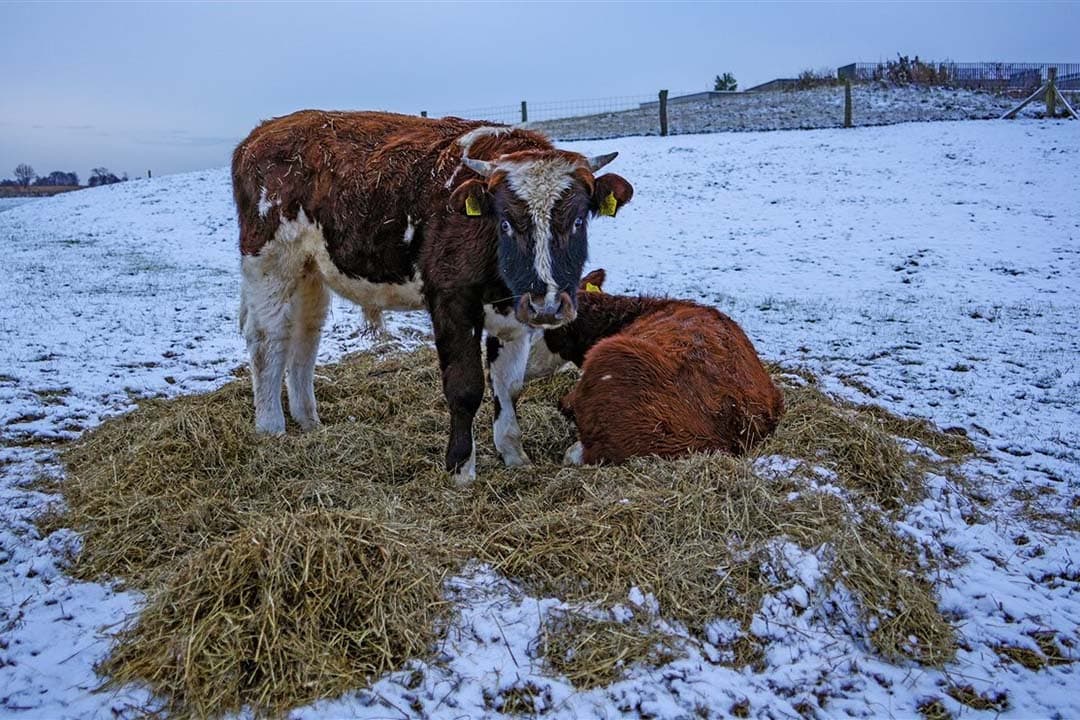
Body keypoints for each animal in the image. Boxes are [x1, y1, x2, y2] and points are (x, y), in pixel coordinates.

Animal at [231, 111, 632, 483]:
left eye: (578, 221)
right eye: (505, 222)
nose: (547, 304)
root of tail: (261, 132)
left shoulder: (514, 314)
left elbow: (509, 386)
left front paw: (514, 455)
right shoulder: (451, 300)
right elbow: (465, 386)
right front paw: (460, 468)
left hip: (310, 270)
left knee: (305, 337)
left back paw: (309, 421)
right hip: (269, 261)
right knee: (268, 340)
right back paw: (271, 428)